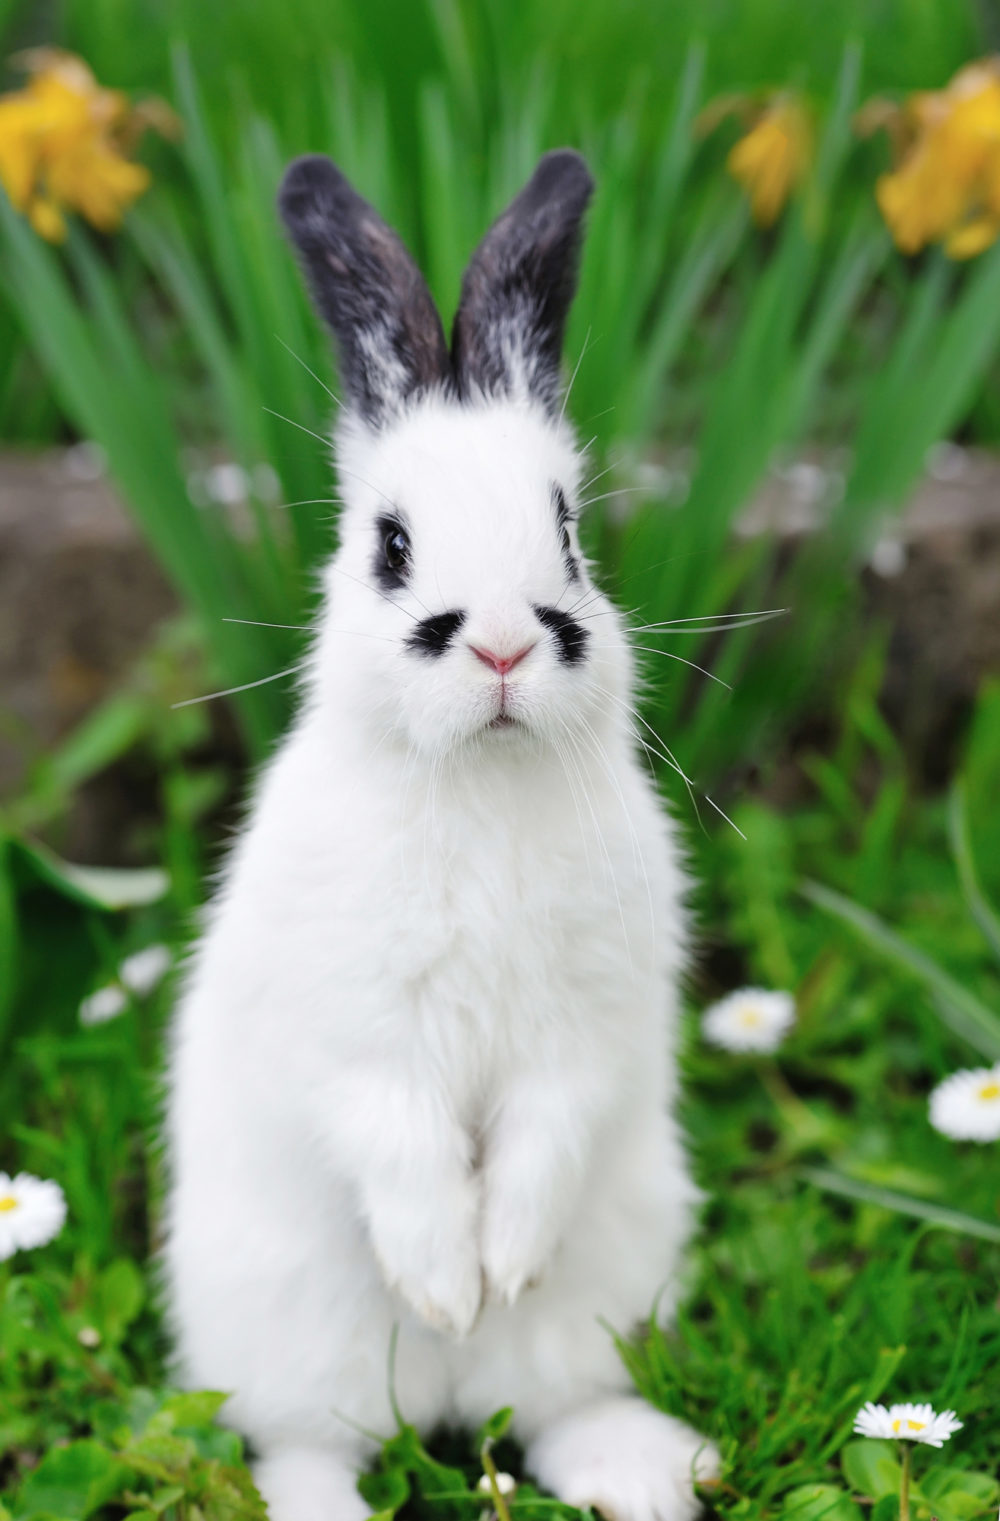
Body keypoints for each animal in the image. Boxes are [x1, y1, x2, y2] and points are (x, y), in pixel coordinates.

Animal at [163, 148, 719, 1521]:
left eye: (568, 531)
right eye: (391, 545)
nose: (506, 646)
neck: (482, 784)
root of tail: (457, 1402)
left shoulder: (584, 1028)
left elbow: (545, 1132)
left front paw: (496, 1267)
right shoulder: (360, 1036)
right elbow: (397, 1140)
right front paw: (443, 1281)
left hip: (607, 1285)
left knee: (556, 1409)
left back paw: (649, 1466)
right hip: (289, 1333)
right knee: (313, 1446)